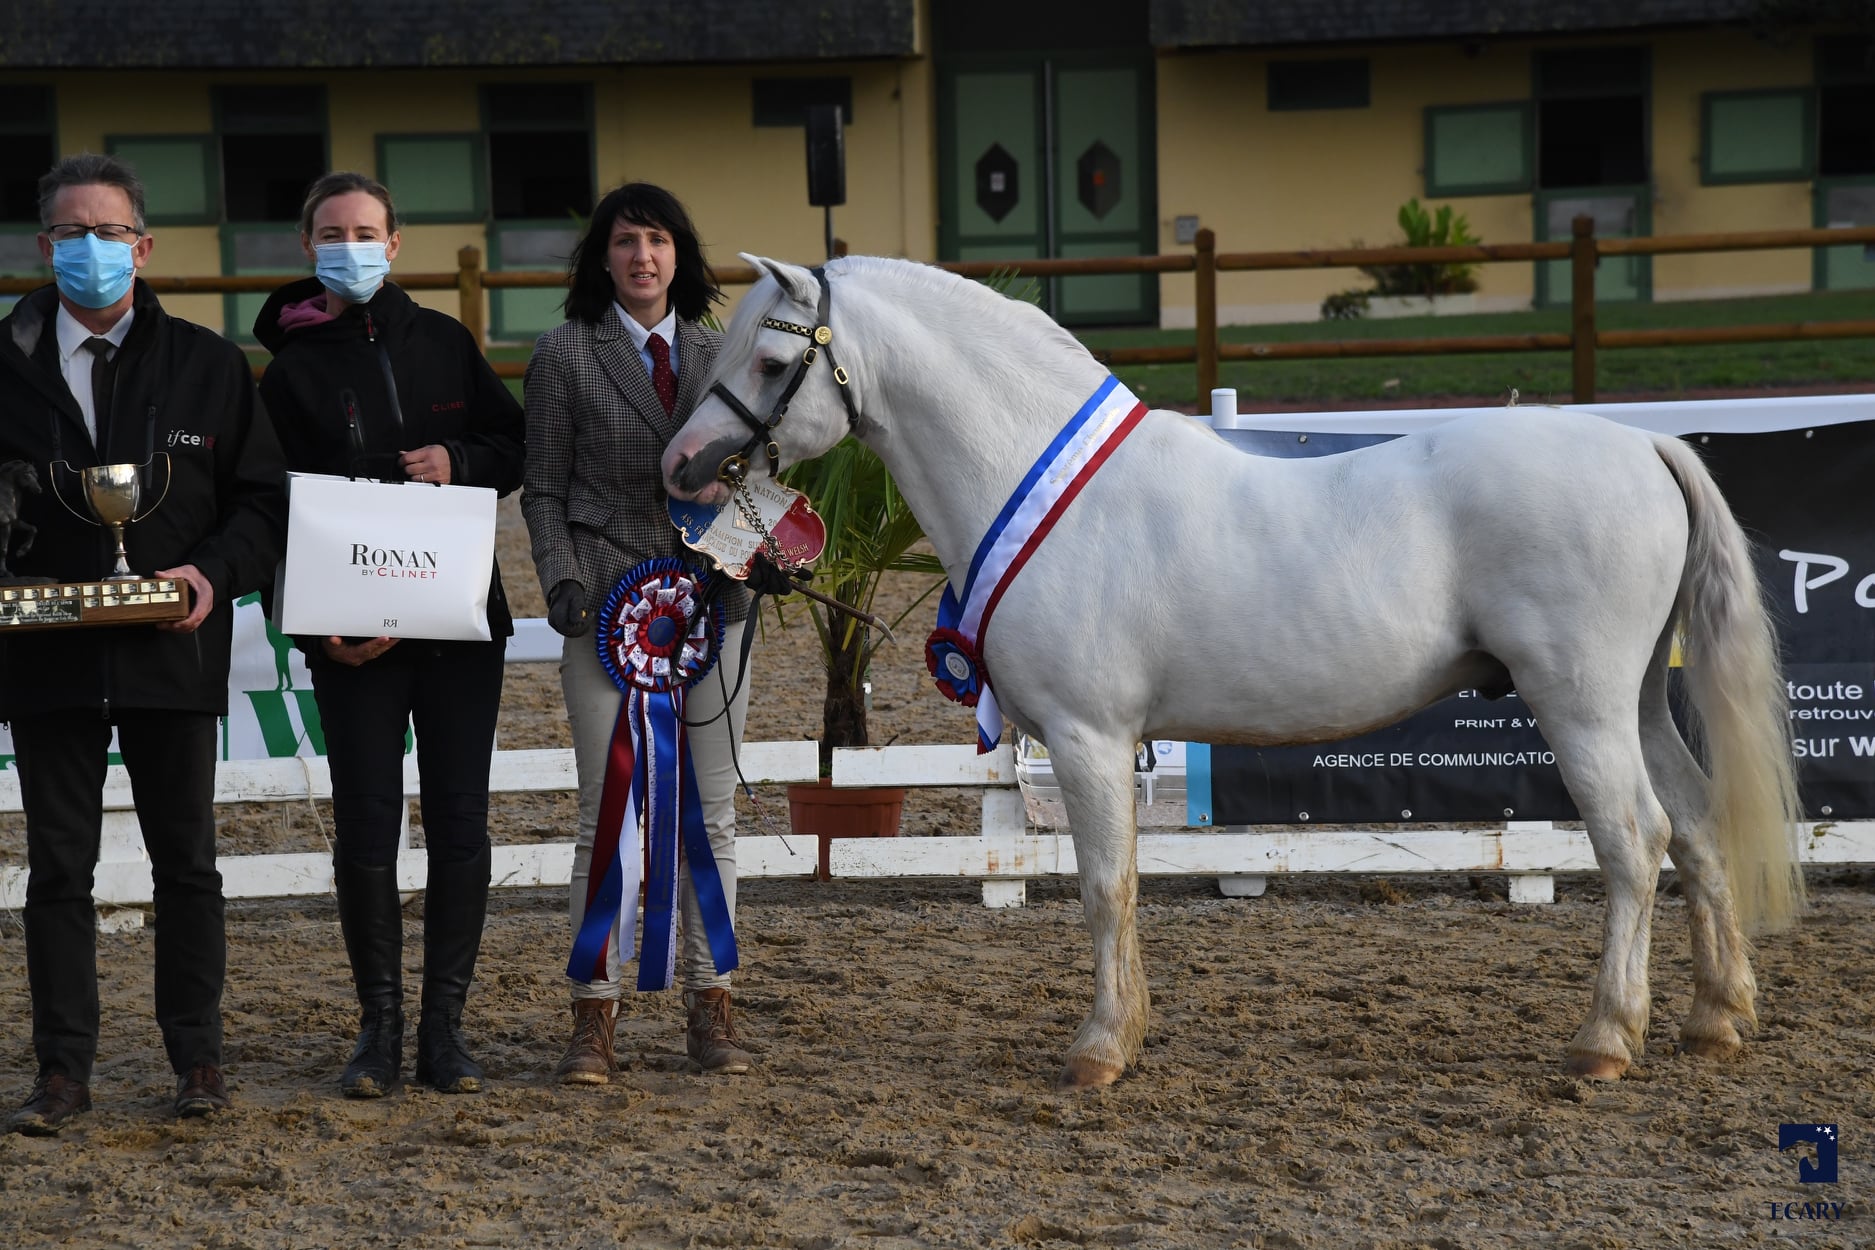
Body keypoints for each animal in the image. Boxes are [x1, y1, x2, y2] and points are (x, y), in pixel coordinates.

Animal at [660, 254, 1800, 1086]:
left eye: (771, 364)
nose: (680, 463)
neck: (1042, 481)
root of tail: (1645, 444)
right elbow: (1121, 888)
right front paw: (1126, 1030)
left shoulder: (1086, 736)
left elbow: (1105, 886)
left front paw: (1099, 1050)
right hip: (1638, 700)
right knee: (1696, 825)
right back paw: (1715, 1020)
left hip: (1581, 705)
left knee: (1636, 840)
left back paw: (1607, 1039)